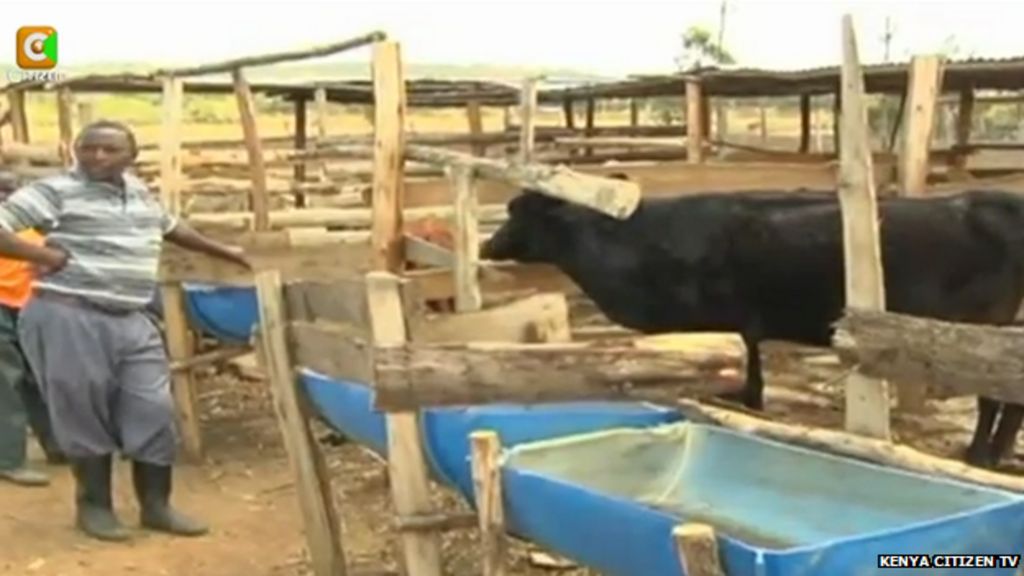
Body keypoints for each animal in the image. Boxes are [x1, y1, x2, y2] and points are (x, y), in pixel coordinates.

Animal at [479, 188, 1024, 469]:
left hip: (980, 332)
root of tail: (987, 197)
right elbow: (753, 378)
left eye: (519, 214)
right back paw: (994, 453)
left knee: (994, 398)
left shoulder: (733, 323)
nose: (486, 246)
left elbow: (750, 383)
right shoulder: (747, 328)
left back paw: (980, 454)